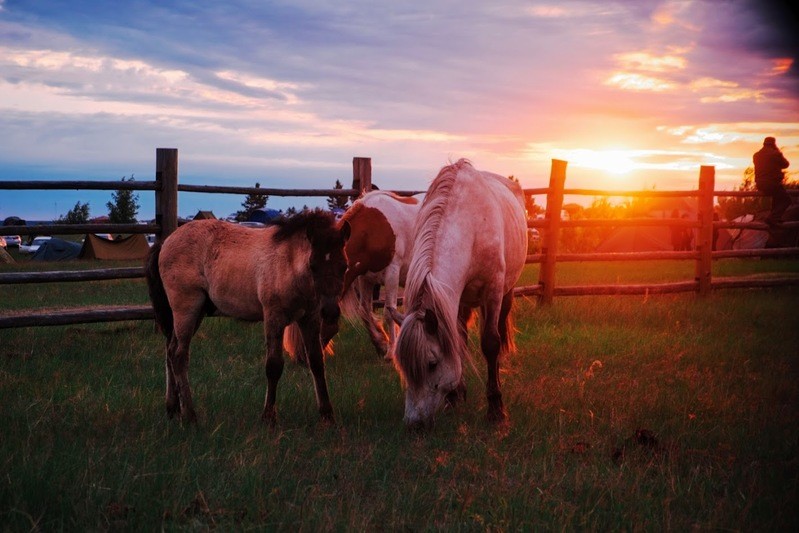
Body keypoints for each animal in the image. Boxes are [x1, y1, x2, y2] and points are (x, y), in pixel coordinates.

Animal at [145, 209, 350, 424]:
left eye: (344, 265)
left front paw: (327, 415)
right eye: (313, 265)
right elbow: (274, 365)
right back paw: (189, 415)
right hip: (186, 308)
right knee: (179, 355)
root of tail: (165, 242)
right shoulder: (274, 317)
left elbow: (317, 362)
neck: (288, 263)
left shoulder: (309, 318)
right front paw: (268, 417)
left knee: (170, 350)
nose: (330, 311)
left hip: (195, 312)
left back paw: (173, 408)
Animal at [340, 189, 424, 360]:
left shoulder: (392, 273)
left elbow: (389, 312)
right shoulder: (365, 278)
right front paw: (380, 343)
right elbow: (364, 310)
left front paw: (391, 351)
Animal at [396, 158, 532, 428]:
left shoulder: (493, 291)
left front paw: (496, 409)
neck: (472, 226)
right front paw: (455, 397)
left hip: (506, 293)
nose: (414, 423)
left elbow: (491, 343)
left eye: (431, 364)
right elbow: (457, 343)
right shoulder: (452, 298)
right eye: (404, 367)